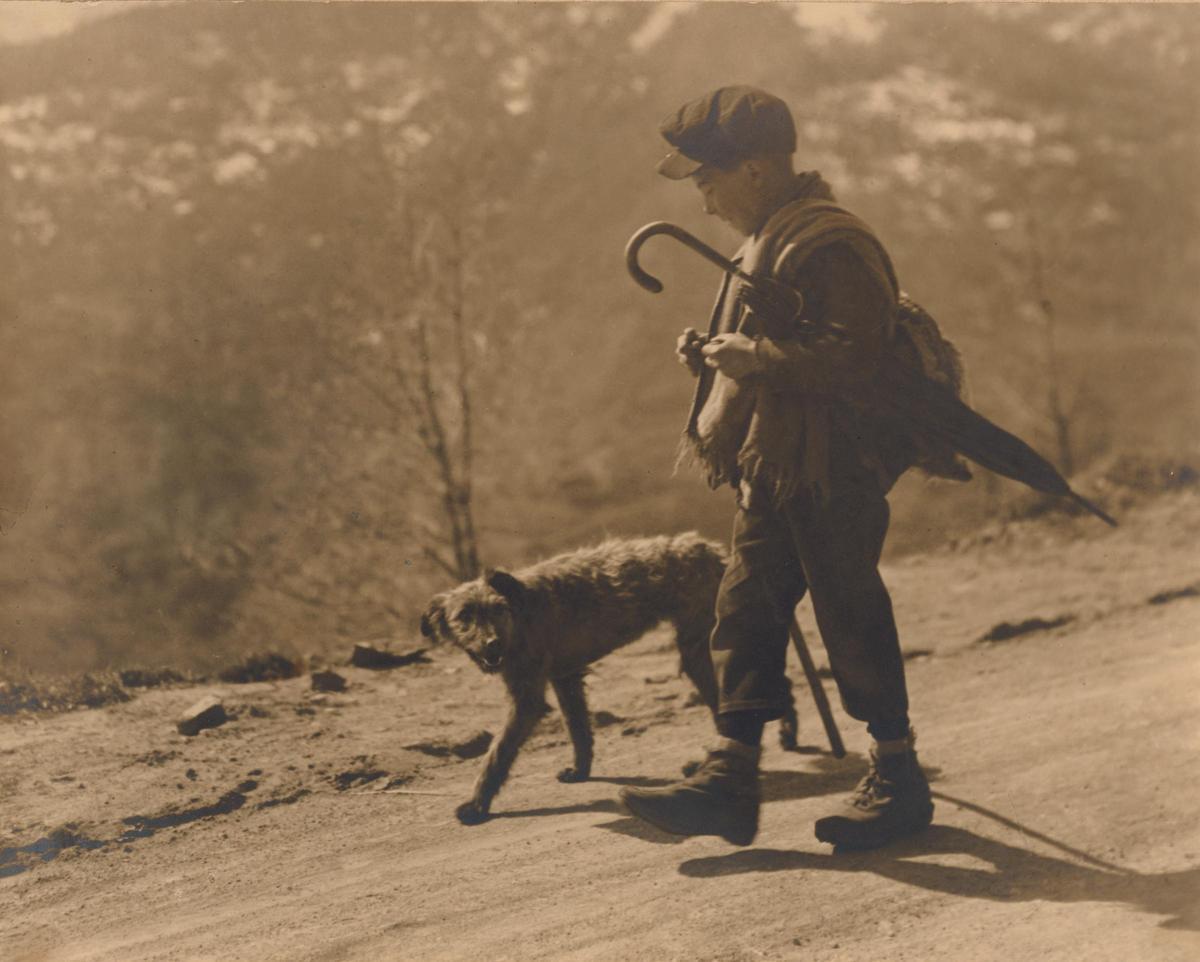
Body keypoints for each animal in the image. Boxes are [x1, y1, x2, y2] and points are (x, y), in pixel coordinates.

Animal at [420, 527, 796, 820]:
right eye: (464, 617)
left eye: (497, 610)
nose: (492, 645)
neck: (520, 610)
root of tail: (711, 549)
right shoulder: (566, 678)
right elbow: (579, 729)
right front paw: (581, 771)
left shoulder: (528, 699)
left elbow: (498, 753)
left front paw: (476, 804)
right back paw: (784, 732)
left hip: (699, 650)